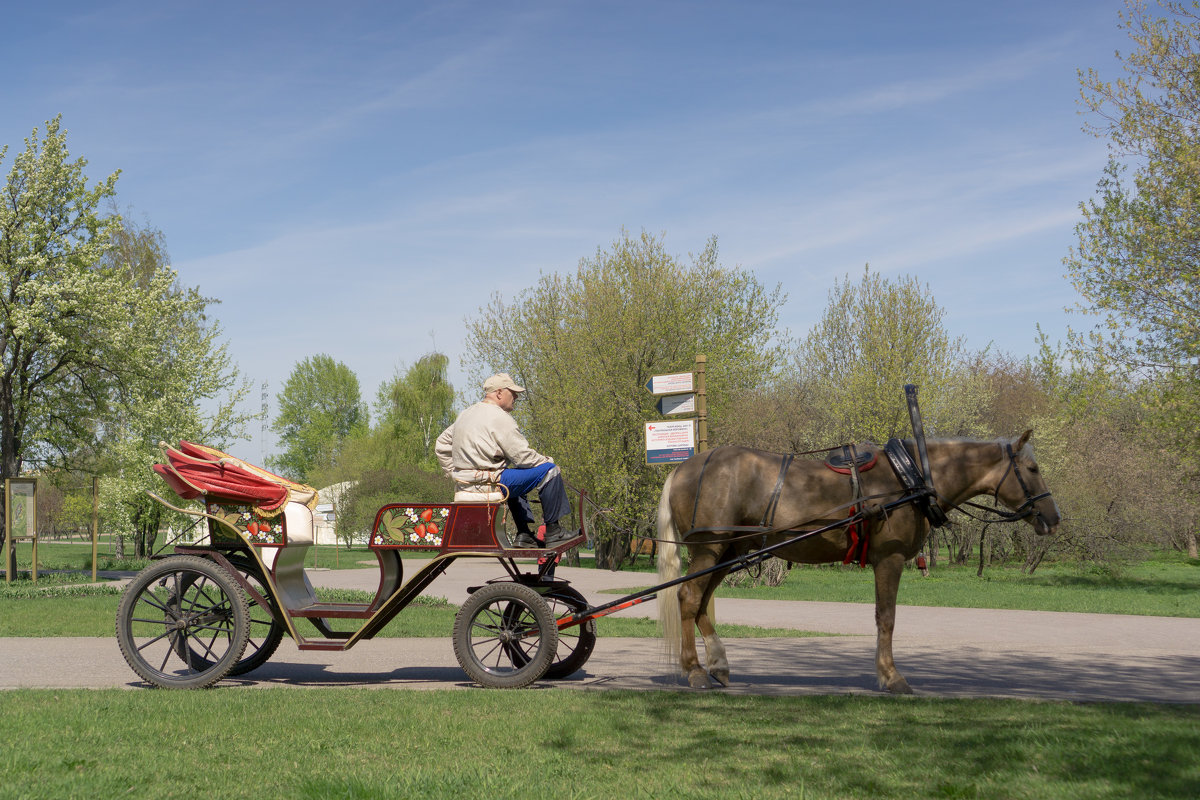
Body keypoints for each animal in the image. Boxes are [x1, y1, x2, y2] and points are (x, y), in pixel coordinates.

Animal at [657, 429, 1060, 690]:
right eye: (1033, 470)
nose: (1053, 517)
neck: (909, 478)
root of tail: (683, 467)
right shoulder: (890, 559)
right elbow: (887, 619)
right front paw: (891, 676)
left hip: (727, 551)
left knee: (702, 603)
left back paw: (718, 665)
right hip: (710, 548)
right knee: (688, 598)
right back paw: (694, 670)